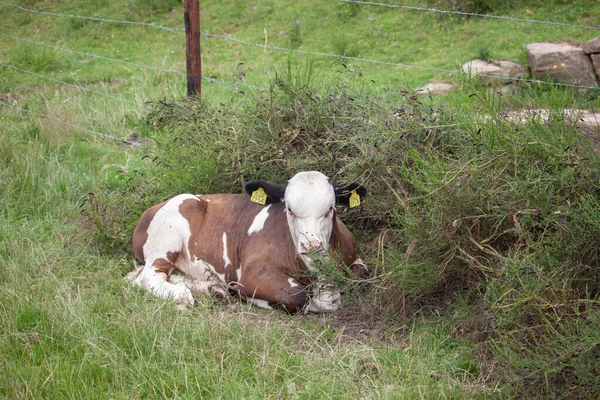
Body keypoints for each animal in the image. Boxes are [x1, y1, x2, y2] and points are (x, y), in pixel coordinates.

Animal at [129, 170, 368, 314]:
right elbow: (298, 297)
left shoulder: (354, 257)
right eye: (289, 209)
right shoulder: (252, 272)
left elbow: (362, 276)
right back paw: (187, 293)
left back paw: (212, 288)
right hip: (167, 237)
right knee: (147, 278)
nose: (311, 246)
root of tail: (150, 210)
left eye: (330, 209)